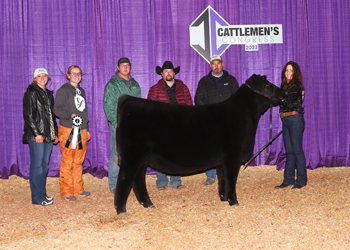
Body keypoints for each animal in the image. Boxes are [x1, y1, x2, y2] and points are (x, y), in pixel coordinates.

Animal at [116, 74, 286, 215]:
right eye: (267, 85)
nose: (284, 93)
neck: (246, 115)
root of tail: (129, 100)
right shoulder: (233, 156)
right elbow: (231, 179)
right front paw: (234, 201)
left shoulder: (222, 160)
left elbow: (223, 179)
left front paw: (224, 198)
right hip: (131, 156)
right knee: (124, 179)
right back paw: (121, 210)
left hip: (141, 159)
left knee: (138, 180)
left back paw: (148, 204)